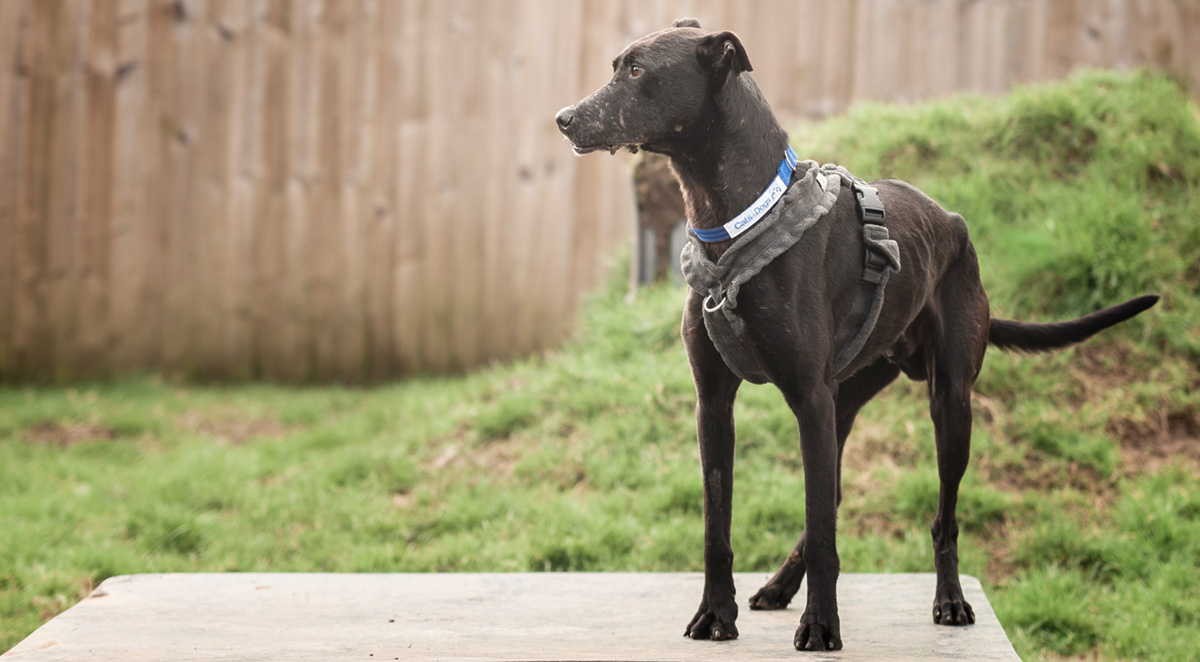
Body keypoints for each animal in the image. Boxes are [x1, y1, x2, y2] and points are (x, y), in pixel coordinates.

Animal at [552, 19, 1152, 652]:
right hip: (844, 404)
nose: (563, 118)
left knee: (941, 517)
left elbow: (824, 532)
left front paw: (821, 626)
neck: (738, 221)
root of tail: (955, 224)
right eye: (617, 64)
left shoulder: (810, 400)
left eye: (638, 70)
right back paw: (779, 588)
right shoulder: (714, 404)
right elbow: (721, 524)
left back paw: (950, 600)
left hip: (948, 403)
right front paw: (717, 615)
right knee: (832, 497)